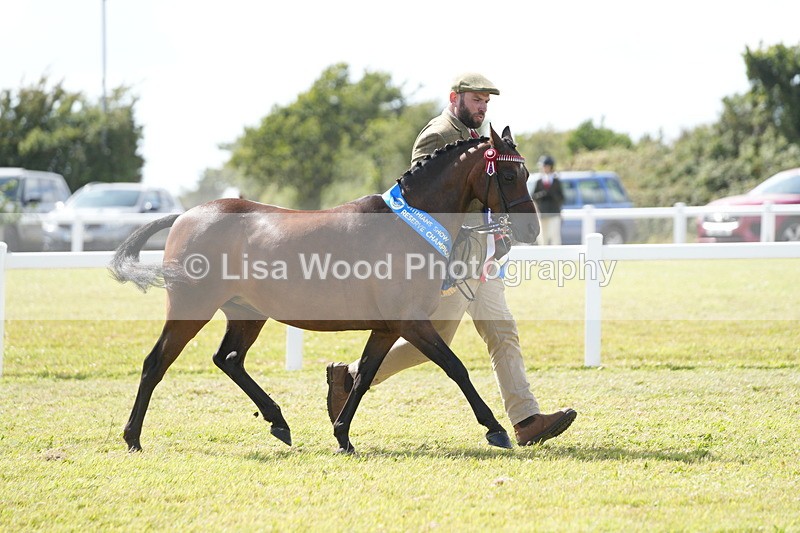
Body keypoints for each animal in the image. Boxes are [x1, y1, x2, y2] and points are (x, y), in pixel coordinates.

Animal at [111, 125, 539, 454]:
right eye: (508, 176)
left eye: (526, 174)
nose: (532, 230)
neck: (410, 225)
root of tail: (186, 215)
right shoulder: (412, 322)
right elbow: (456, 367)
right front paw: (496, 429)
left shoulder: (387, 327)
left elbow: (364, 376)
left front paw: (343, 436)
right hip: (192, 308)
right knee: (156, 363)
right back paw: (133, 438)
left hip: (246, 313)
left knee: (228, 359)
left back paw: (279, 423)